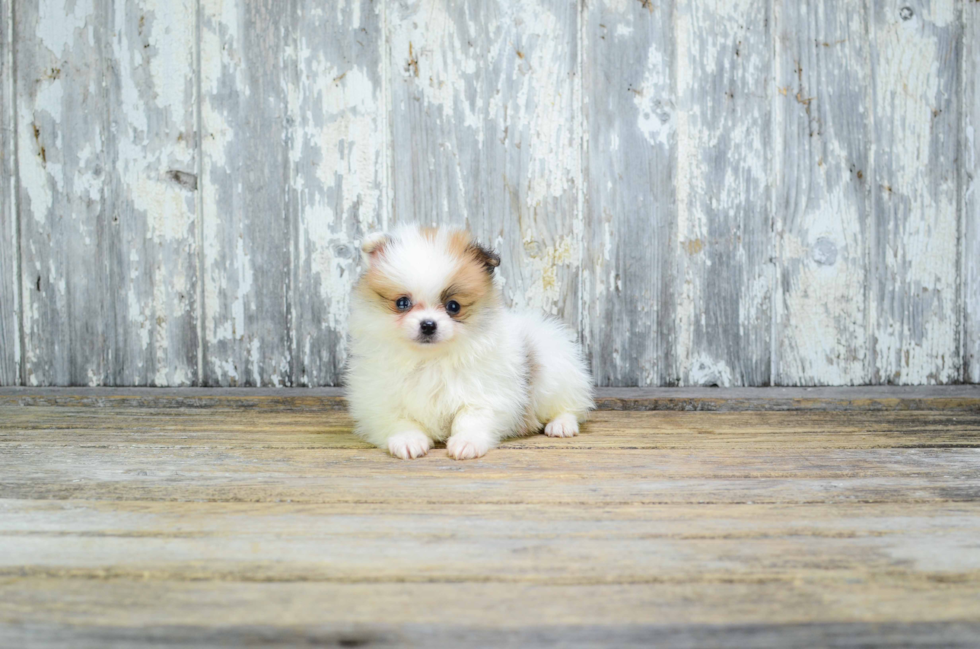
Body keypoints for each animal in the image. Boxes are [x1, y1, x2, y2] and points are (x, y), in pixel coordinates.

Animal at [348, 225, 592, 458]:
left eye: (453, 306)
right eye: (402, 303)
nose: (428, 325)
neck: (430, 360)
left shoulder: (485, 394)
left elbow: (470, 419)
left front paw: (467, 443)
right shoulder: (381, 401)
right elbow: (399, 421)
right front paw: (407, 441)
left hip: (553, 375)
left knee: (569, 406)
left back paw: (561, 425)